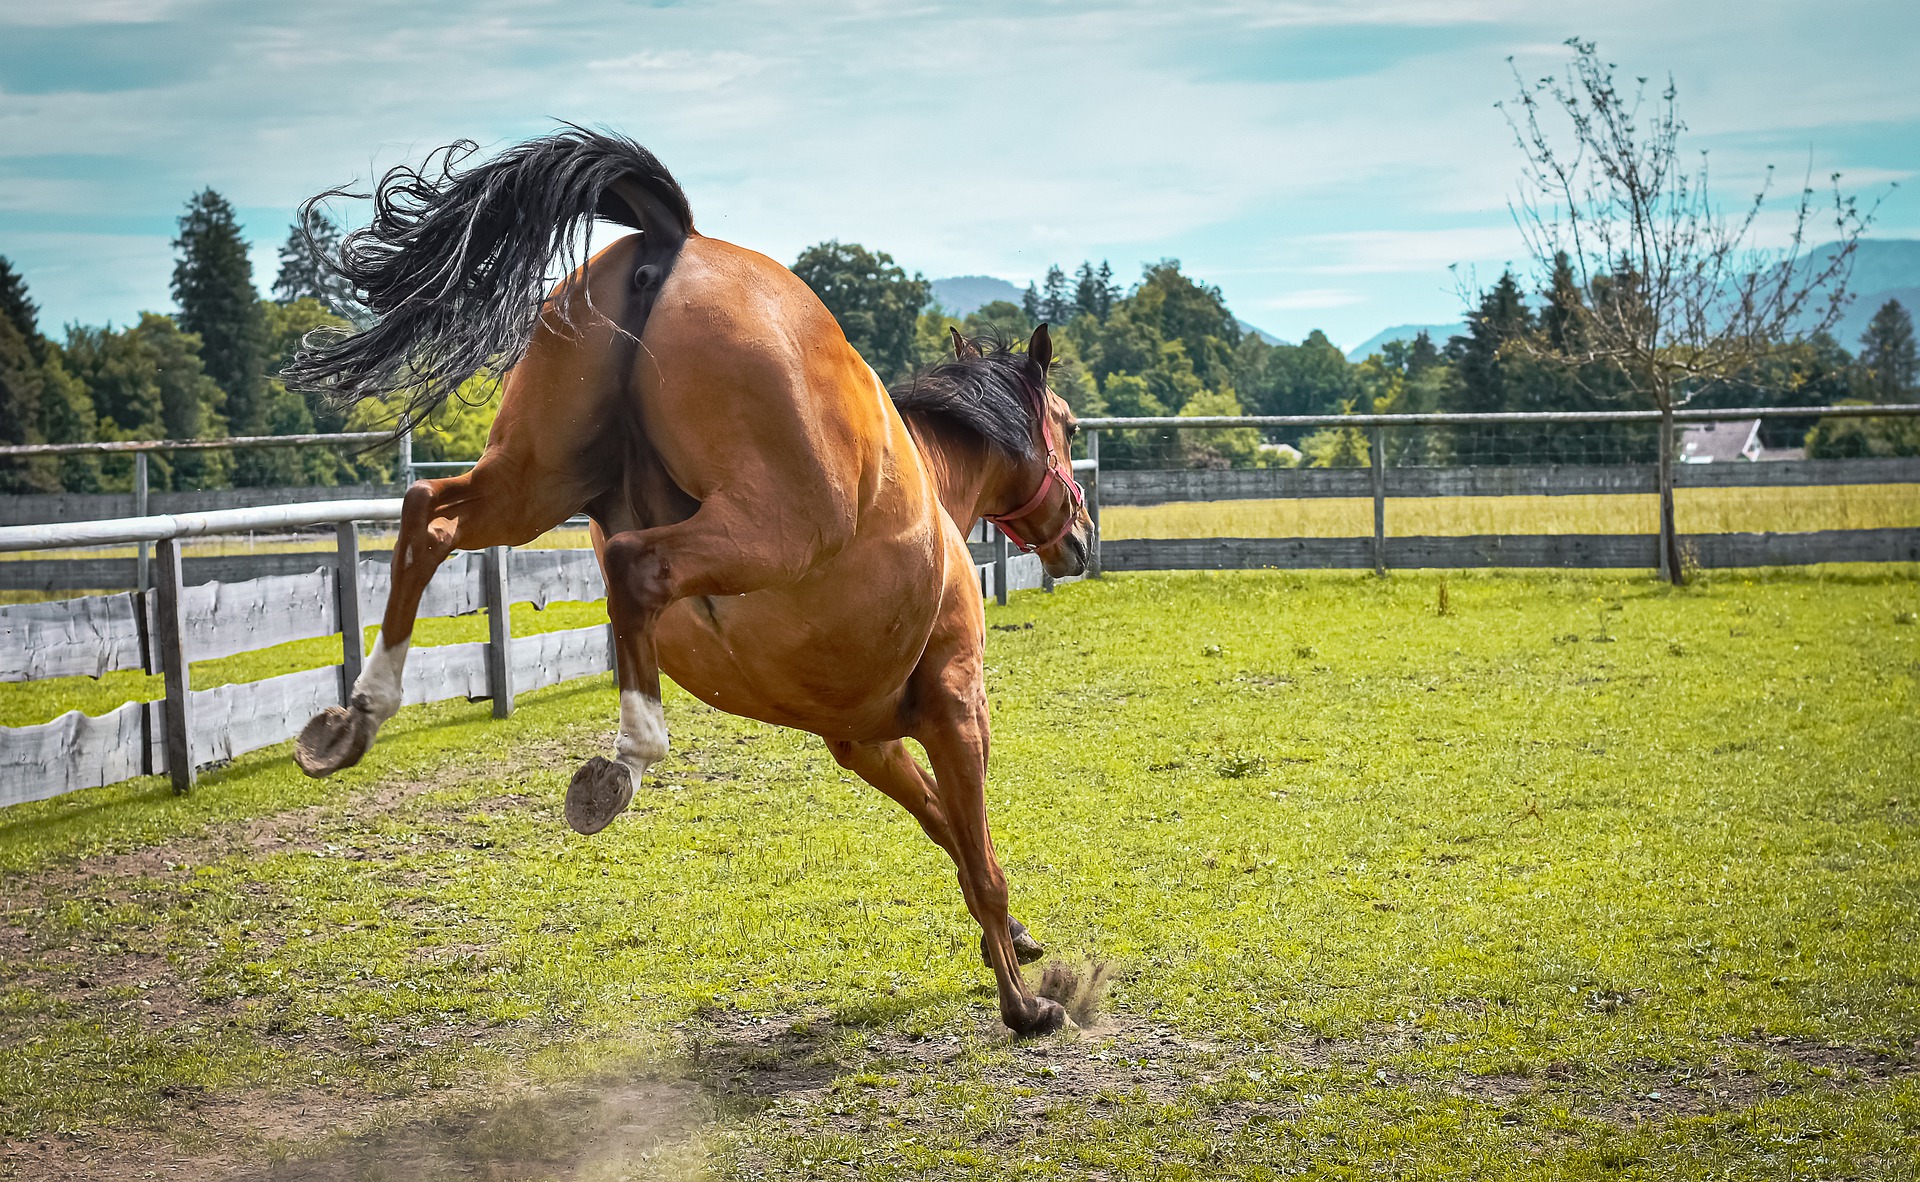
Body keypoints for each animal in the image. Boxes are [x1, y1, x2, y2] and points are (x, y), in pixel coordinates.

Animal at [286, 126, 1098, 1036]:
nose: (1080, 536)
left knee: (430, 513)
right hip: (768, 530)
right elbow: (976, 851)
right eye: (1068, 425)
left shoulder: (868, 740)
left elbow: (949, 834)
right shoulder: (956, 706)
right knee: (633, 566)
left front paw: (1015, 944)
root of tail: (675, 240)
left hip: (535, 480)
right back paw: (624, 762)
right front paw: (1026, 1002)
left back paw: (357, 714)